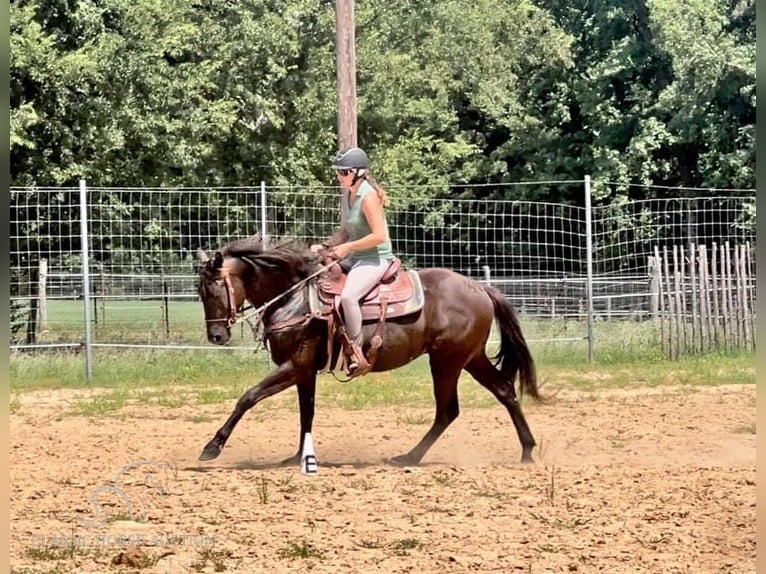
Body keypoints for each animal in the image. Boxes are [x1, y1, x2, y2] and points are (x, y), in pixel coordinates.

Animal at [198, 237, 544, 468]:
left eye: (213, 289)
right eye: (200, 292)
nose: (216, 336)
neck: (295, 298)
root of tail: (480, 288)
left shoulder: (295, 365)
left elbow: (249, 397)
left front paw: (212, 447)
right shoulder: (305, 371)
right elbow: (306, 413)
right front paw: (299, 457)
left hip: (446, 362)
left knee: (448, 411)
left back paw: (409, 457)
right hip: (470, 358)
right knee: (504, 391)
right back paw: (527, 450)